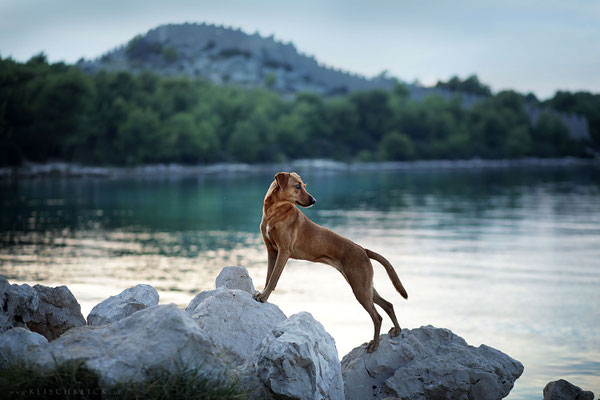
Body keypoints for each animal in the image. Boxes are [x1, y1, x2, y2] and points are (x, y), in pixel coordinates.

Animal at [253, 170, 408, 352]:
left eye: (303, 186)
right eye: (297, 186)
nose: (314, 200)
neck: (275, 210)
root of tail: (363, 249)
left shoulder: (284, 251)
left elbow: (273, 278)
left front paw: (264, 296)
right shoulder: (271, 251)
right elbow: (269, 277)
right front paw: (263, 295)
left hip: (360, 289)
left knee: (377, 317)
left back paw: (375, 345)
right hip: (365, 286)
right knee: (388, 305)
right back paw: (397, 330)